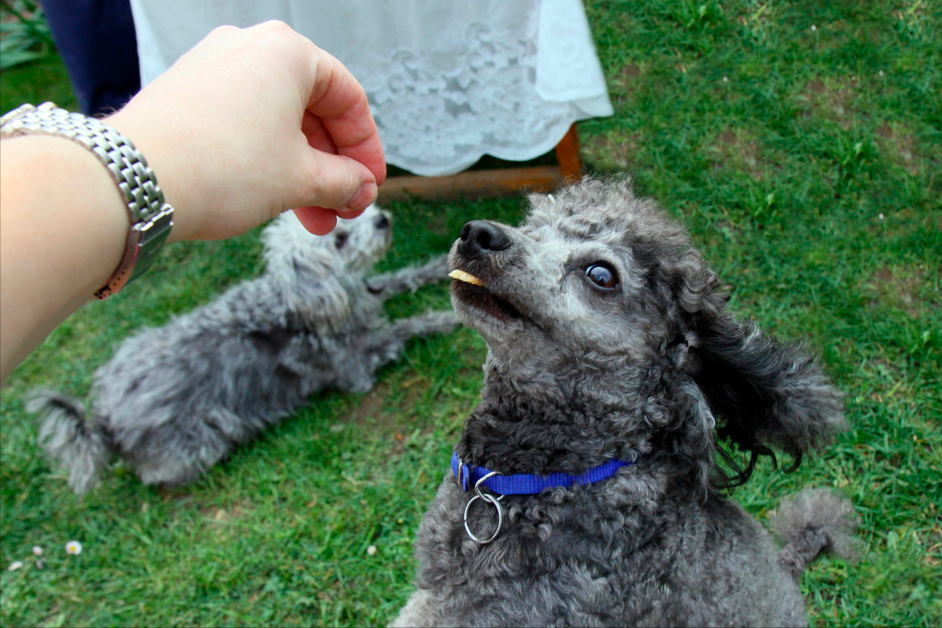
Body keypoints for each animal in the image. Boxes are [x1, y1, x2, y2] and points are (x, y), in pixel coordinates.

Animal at [29, 206, 458, 496]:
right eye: (339, 239)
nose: (382, 219)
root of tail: (101, 419)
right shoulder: (360, 363)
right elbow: (407, 326)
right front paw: (443, 318)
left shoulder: (370, 292)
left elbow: (403, 277)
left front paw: (442, 267)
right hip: (201, 440)